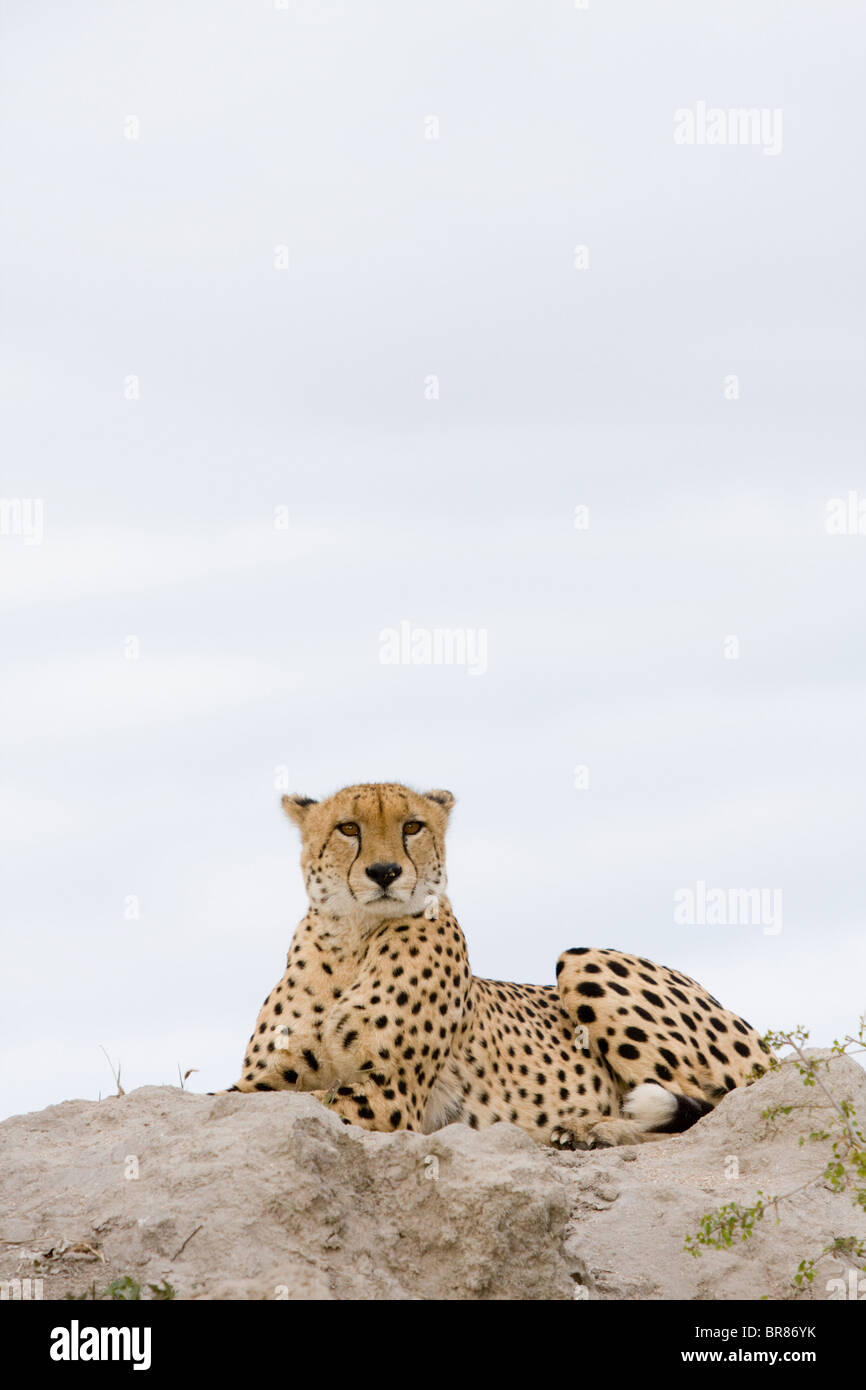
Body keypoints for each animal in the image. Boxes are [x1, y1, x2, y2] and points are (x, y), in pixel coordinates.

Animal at [226, 783, 767, 1150]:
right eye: (349, 828)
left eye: (412, 826)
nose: (385, 872)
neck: (352, 940)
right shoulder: (267, 1080)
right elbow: (237, 1097)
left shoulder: (389, 1097)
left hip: (584, 959)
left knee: (718, 1110)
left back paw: (594, 1128)